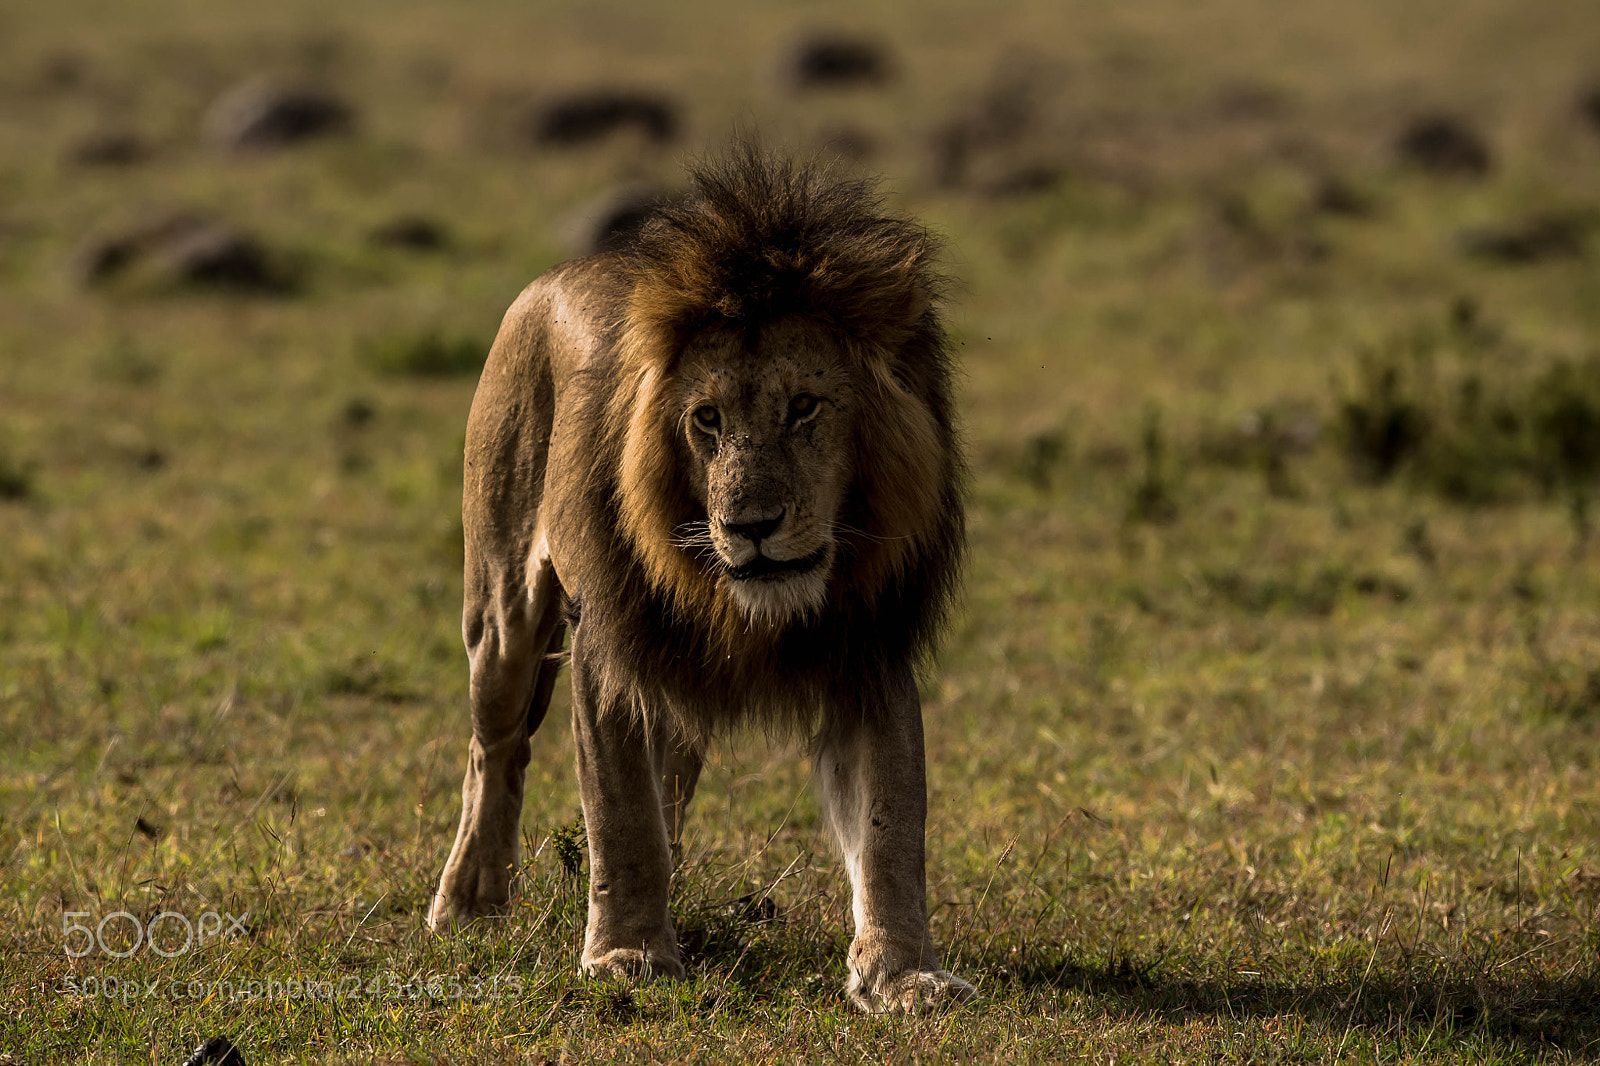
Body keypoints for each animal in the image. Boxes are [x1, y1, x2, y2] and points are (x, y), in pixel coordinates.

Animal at [428, 145, 975, 1013]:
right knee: (497, 750)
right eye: (707, 419)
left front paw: (901, 973)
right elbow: (620, 814)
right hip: (502, 613)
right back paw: (470, 900)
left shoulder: (868, 647)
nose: (750, 525)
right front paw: (628, 952)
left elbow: (891, 825)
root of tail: (550, 278)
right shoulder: (608, 648)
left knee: (670, 775)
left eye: (804, 406)